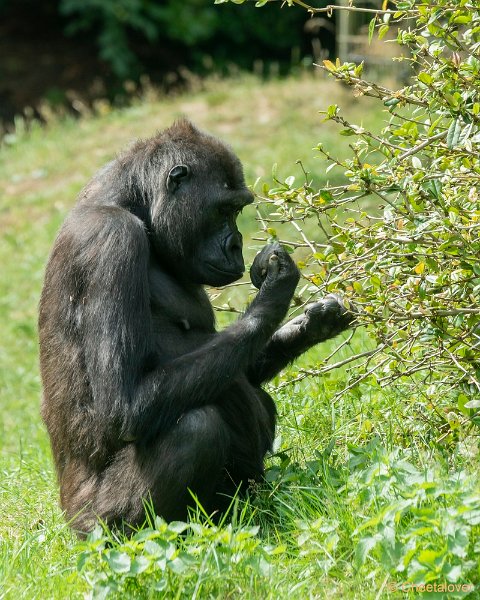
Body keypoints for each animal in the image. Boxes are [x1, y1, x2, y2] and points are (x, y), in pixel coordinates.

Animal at [38, 118, 352, 536]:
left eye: (238, 209)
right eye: (224, 210)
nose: (236, 245)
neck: (135, 205)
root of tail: (69, 522)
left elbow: (242, 369)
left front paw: (311, 325)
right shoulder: (112, 241)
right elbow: (124, 406)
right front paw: (275, 290)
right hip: (93, 523)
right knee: (196, 429)